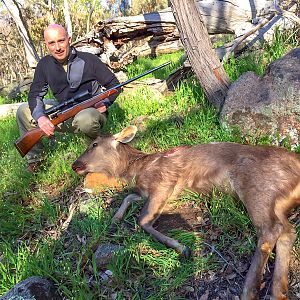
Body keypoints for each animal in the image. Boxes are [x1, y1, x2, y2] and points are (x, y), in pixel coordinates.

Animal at [71, 125, 300, 298]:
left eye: (93, 144)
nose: (74, 165)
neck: (135, 170)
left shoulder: (164, 183)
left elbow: (142, 220)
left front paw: (182, 247)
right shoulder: (149, 193)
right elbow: (129, 198)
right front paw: (115, 218)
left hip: (257, 186)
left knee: (270, 230)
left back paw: (250, 290)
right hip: (276, 200)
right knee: (287, 231)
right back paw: (278, 292)